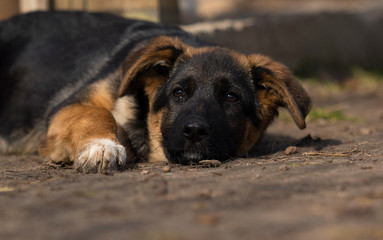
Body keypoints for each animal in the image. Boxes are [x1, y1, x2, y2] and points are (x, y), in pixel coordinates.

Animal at [0, 11, 312, 172]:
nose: (194, 131)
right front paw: (101, 146)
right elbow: (97, 114)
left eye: (231, 97)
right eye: (178, 93)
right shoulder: (70, 106)